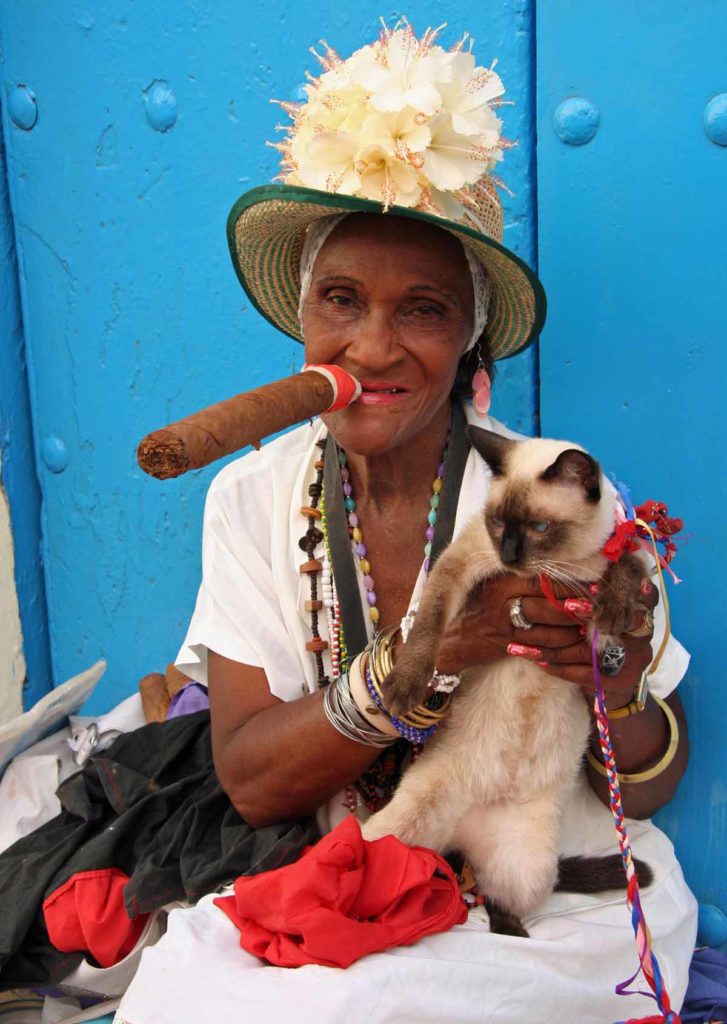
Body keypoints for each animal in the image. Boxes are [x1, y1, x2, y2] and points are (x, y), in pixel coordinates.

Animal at [362, 423, 651, 937]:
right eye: (497, 522)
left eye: (539, 528)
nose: (511, 556)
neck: (559, 570)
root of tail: (460, 838)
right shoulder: (461, 566)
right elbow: (428, 626)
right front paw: (405, 685)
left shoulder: (617, 568)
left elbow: (627, 568)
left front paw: (614, 614)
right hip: (394, 831)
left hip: (526, 865)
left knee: (500, 899)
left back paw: (514, 934)